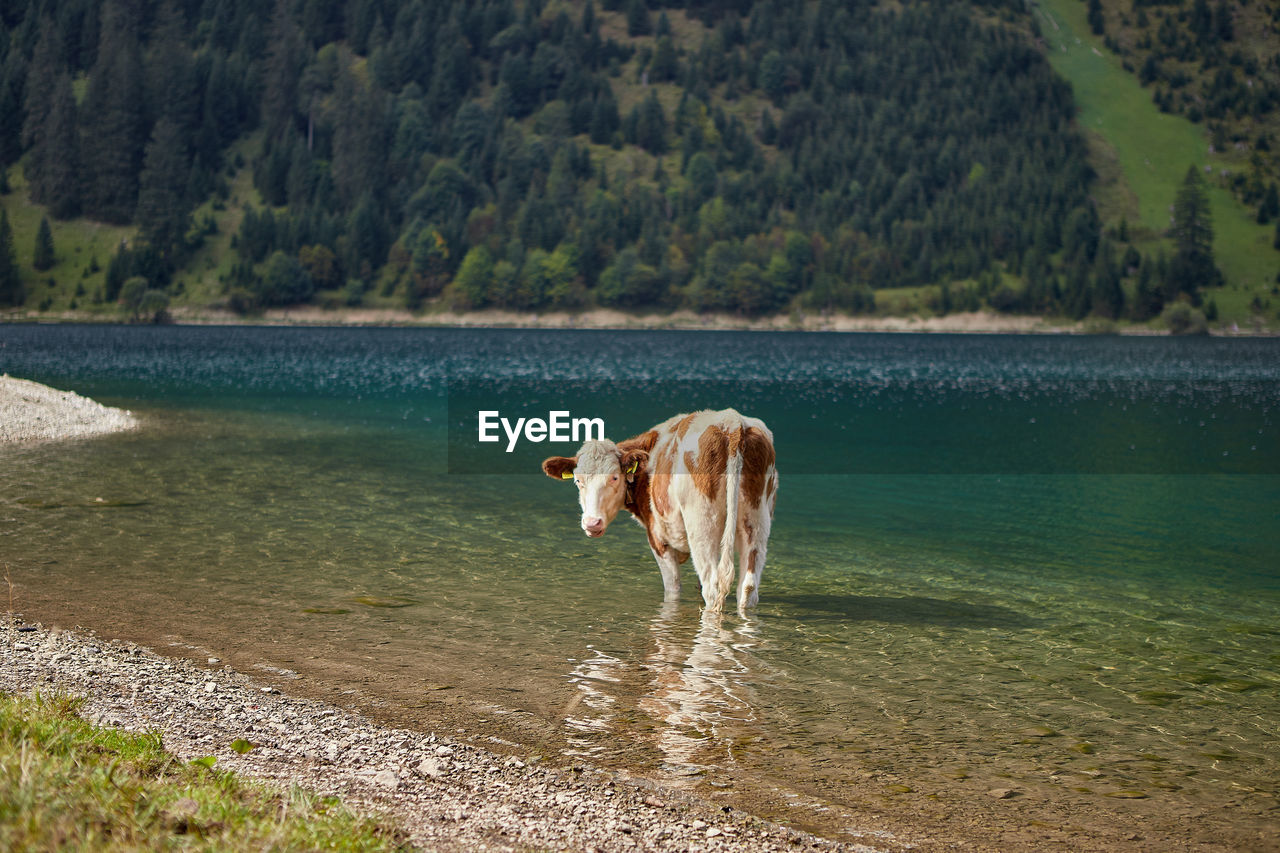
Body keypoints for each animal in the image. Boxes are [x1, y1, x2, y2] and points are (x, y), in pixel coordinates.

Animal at [542, 407, 778, 612]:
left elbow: (672, 589)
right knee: (747, 587)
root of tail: (731, 422)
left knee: (713, 586)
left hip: (702, 525)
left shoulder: (658, 539)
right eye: (578, 481)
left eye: (615, 477)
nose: (592, 523)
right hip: (756, 521)